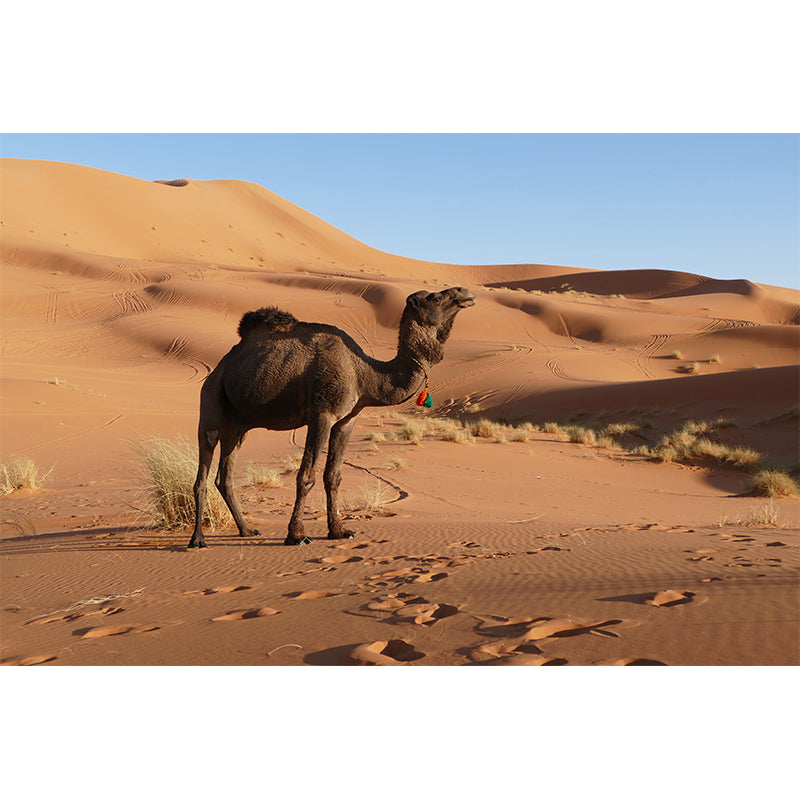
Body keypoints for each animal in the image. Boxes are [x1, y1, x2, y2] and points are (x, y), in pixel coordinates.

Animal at [189, 286, 476, 548]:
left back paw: (246, 530)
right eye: (436, 298)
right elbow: (307, 476)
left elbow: (333, 476)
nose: (466, 293)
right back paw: (198, 540)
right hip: (212, 398)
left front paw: (339, 530)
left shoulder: (347, 420)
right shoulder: (322, 414)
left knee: (224, 476)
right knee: (204, 464)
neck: (364, 373)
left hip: (238, 425)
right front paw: (297, 535)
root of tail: (219, 366)